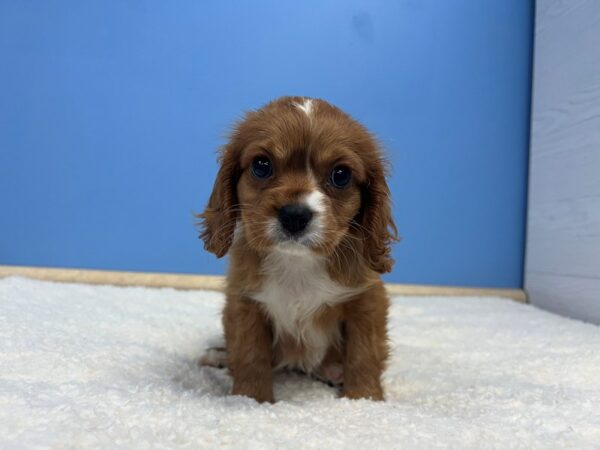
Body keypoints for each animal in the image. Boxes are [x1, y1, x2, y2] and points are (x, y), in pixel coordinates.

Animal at [198, 96, 398, 402]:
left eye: (341, 175)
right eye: (262, 165)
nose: (294, 215)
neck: (297, 263)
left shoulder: (366, 300)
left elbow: (364, 353)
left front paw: (364, 398)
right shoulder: (245, 302)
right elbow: (249, 354)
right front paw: (251, 399)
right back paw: (217, 356)